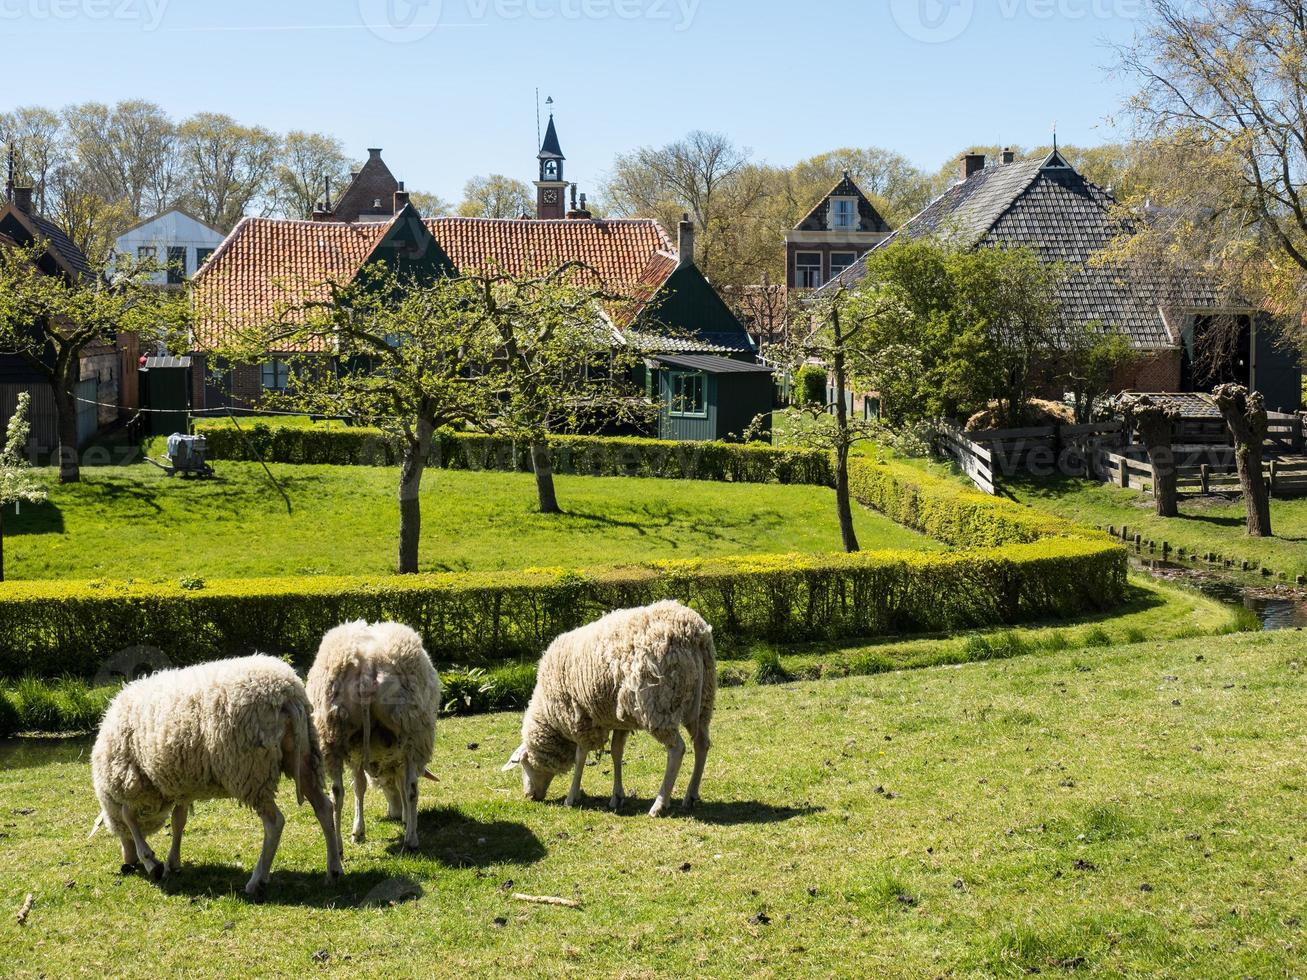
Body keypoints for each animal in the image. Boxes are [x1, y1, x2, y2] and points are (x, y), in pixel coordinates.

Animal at [94, 661, 345, 898]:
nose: (128, 863)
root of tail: (286, 692)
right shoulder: (180, 785)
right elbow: (178, 821)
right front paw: (172, 862)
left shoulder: (135, 781)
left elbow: (129, 818)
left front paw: (150, 861)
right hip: (302, 757)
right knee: (324, 808)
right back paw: (333, 870)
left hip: (250, 770)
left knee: (275, 822)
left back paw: (257, 880)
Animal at [308, 624, 441, 857]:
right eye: (387, 784)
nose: (394, 813)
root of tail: (368, 665)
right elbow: (398, 786)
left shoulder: (357, 749)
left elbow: (359, 787)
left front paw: (357, 832)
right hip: (413, 733)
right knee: (412, 789)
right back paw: (411, 839)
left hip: (333, 734)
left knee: (336, 793)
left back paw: (338, 846)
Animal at [504, 603, 721, 815]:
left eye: (524, 763)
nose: (529, 796)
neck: (549, 716)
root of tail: (694, 633)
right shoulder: (618, 719)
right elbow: (617, 752)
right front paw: (617, 796)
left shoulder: (580, 719)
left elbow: (581, 757)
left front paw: (571, 797)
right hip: (703, 701)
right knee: (701, 744)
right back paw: (690, 795)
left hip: (658, 705)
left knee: (677, 749)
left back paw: (659, 805)